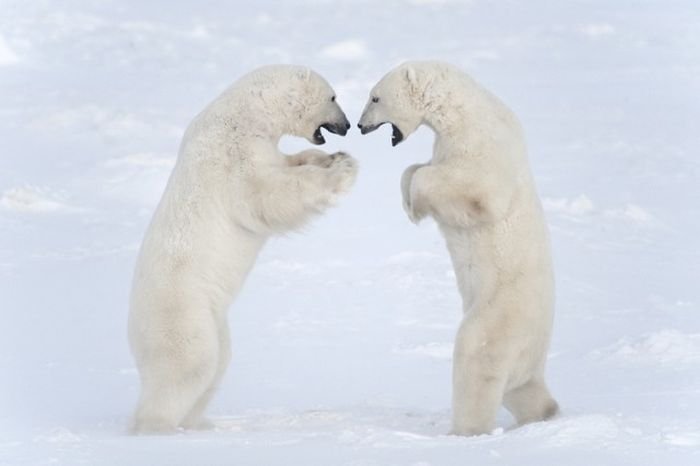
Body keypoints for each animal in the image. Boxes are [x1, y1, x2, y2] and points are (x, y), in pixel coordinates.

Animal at [127, 64, 356, 434]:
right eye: (333, 97)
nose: (347, 125)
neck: (244, 114)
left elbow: (287, 162)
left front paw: (329, 157)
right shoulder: (232, 156)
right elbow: (268, 195)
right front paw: (343, 169)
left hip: (212, 317)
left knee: (218, 363)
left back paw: (198, 423)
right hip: (181, 314)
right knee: (189, 367)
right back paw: (157, 426)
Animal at [358, 60, 560, 436]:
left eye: (375, 97)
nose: (361, 126)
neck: (462, 109)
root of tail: (537, 353)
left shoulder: (481, 144)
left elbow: (472, 188)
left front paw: (415, 202)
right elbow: (419, 167)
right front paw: (409, 203)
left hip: (499, 315)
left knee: (477, 357)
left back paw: (464, 431)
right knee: (520, 389)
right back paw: (544, 412)